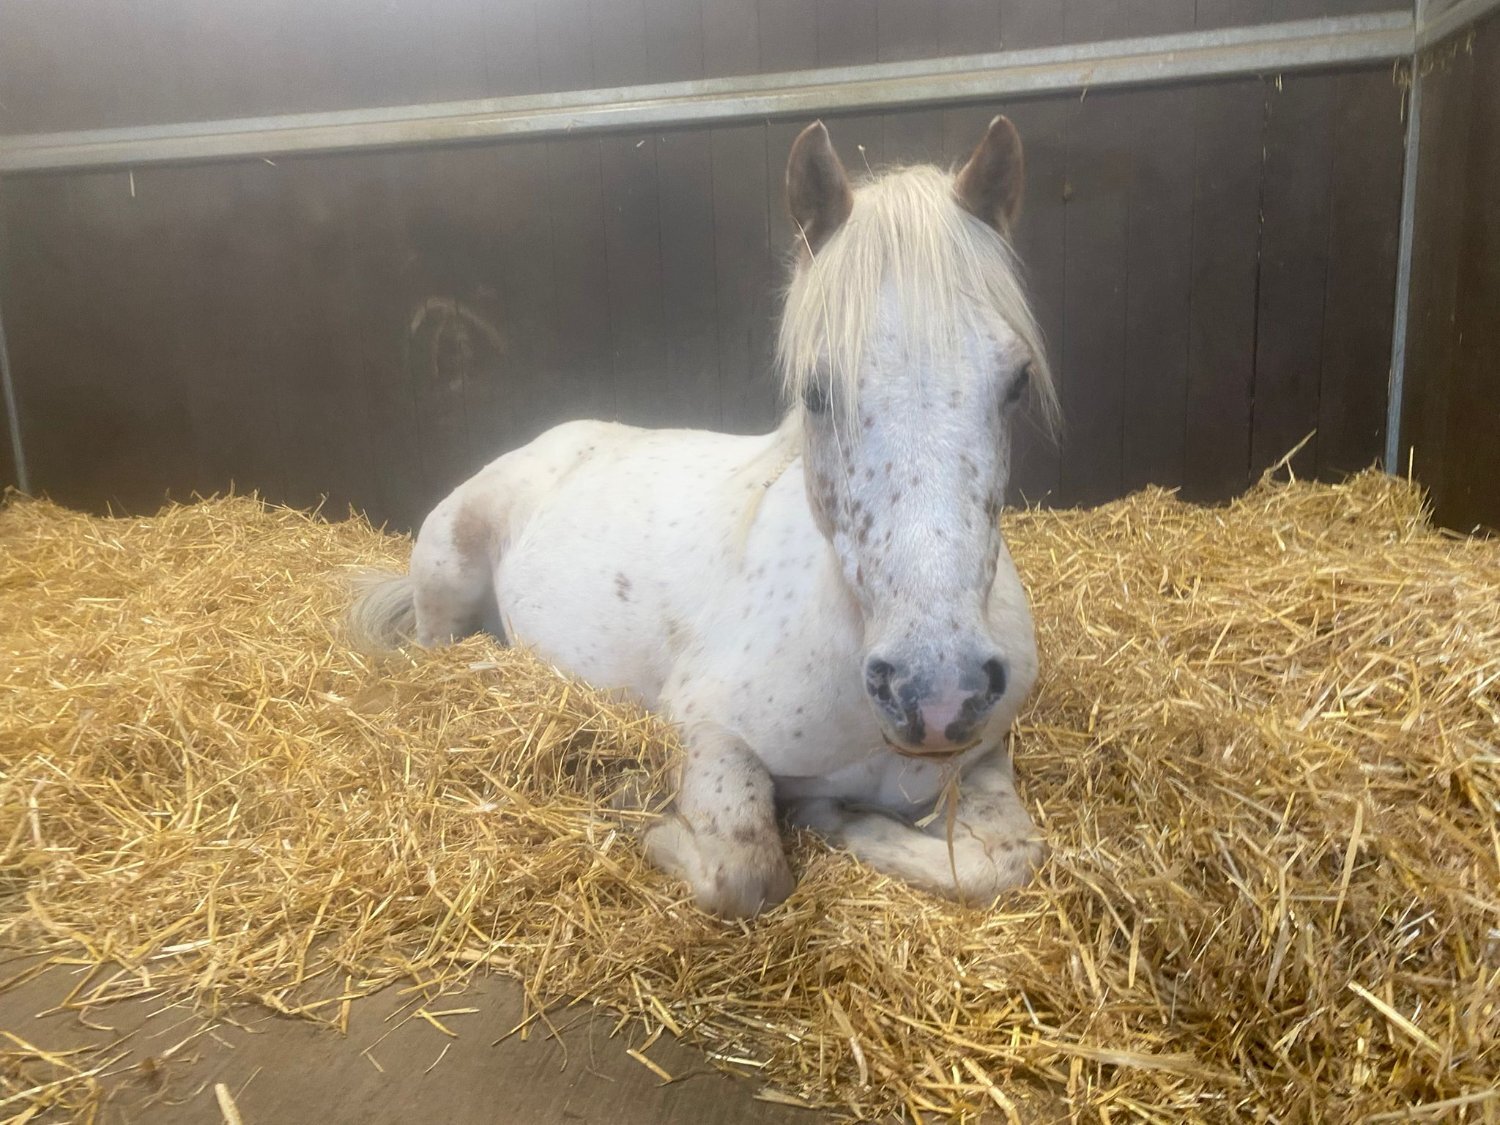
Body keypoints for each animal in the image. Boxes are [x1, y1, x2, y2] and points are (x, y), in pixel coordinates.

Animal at [349, 116, 1057, 919]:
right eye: (816, 390)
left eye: (1017, 381)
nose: (936, 691)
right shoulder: (706, 730)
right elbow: (746, 870)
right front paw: (636, 802)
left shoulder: (983, 758)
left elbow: (1005, 860)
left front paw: (840, 819)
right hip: (448, 574)